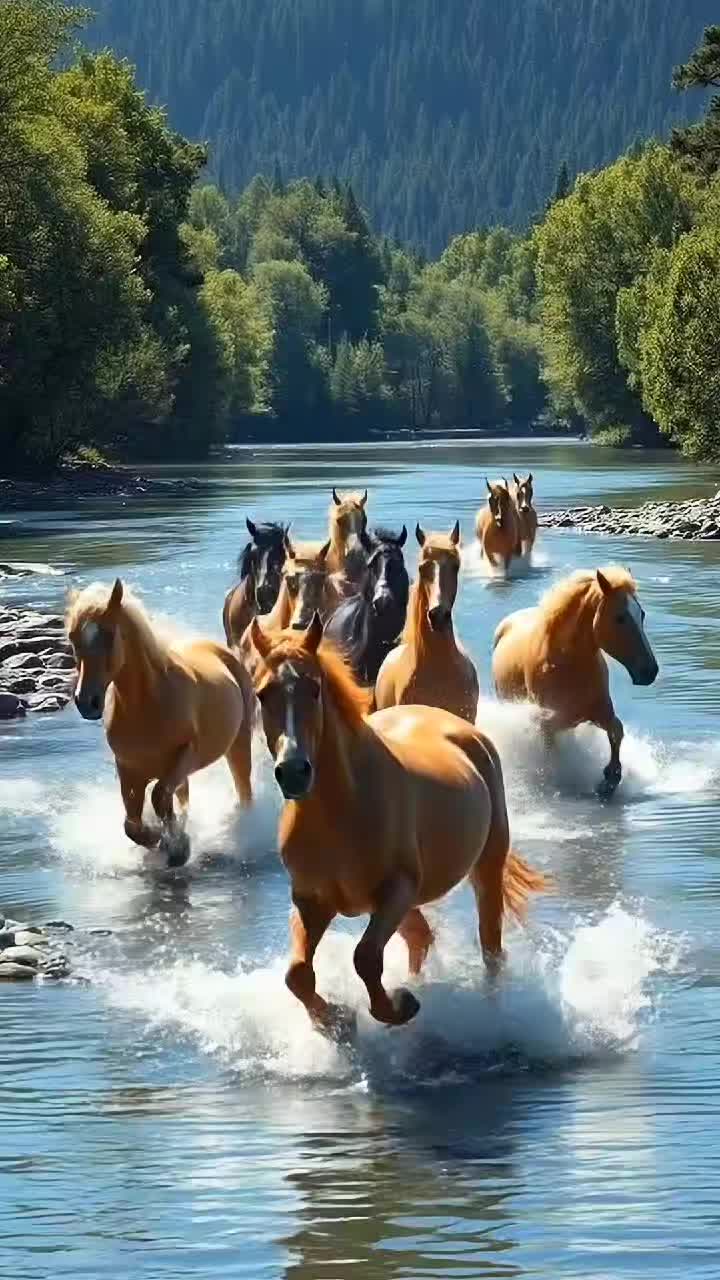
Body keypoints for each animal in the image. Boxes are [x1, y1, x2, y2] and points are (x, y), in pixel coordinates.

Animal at [67, 579, 254, 866]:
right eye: (72, 637)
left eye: (109, 634)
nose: (86, 701)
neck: (147, 706)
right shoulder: (128, 769)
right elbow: (131, 823)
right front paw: (161, 840)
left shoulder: (184, 756)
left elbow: (157, 797)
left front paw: (175, 847)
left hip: (238, 745)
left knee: (243, 791)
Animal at [248, 612, 545, 1033]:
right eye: (262, 694)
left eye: (315, 689)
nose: (293, 772)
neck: (341, 813)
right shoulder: (310, 900)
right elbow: (298, 974)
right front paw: (338, 1020)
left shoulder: (396, 892)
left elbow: (365, 957)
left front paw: (399, 1006)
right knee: (421, 936)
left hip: (484, 870)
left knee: (490, 949)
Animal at [492, 566, 659, 798]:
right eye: (619, 618)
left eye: (641, 614)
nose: (650, 671)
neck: (569, 664)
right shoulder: (552, 720)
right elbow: (551, 746)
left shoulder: (599, 712)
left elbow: (617, 730)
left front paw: (610, 780)